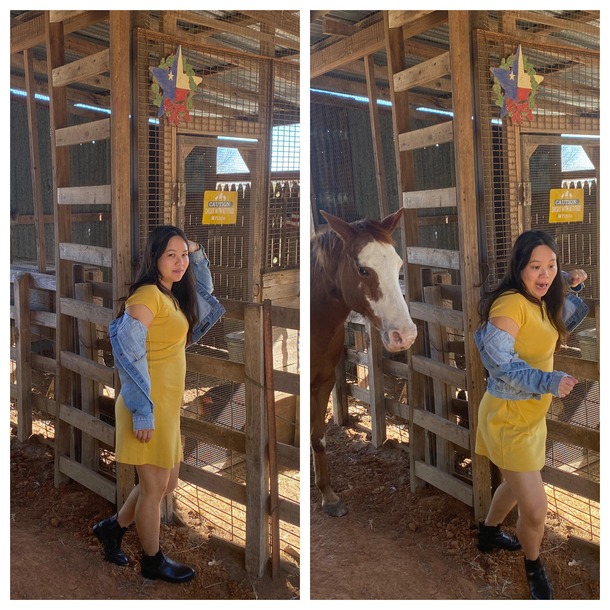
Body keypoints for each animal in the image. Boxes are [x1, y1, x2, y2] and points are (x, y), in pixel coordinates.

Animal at [312, 208, 416, 512]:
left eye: (398, 265)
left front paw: (328, 494)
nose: (405, 335)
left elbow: (318, 437)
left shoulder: (323, 383)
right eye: (362, 269)